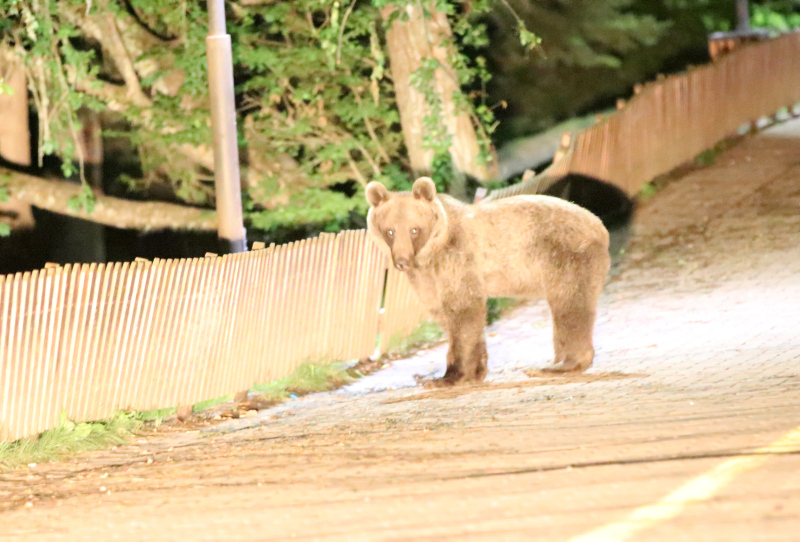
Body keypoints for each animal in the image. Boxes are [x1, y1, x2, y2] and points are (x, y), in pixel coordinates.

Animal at [366, 177, 608, 386]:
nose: (402, 262)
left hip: (566, 257)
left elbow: (463, 310)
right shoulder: (426, 278)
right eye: (390, 231)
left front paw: (448, 377)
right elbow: (445, 313)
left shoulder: (457, 257)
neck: (431, 253)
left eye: (414, 229)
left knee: (569, 305)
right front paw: (475, 372)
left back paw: (558, 366)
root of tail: (599, 225)